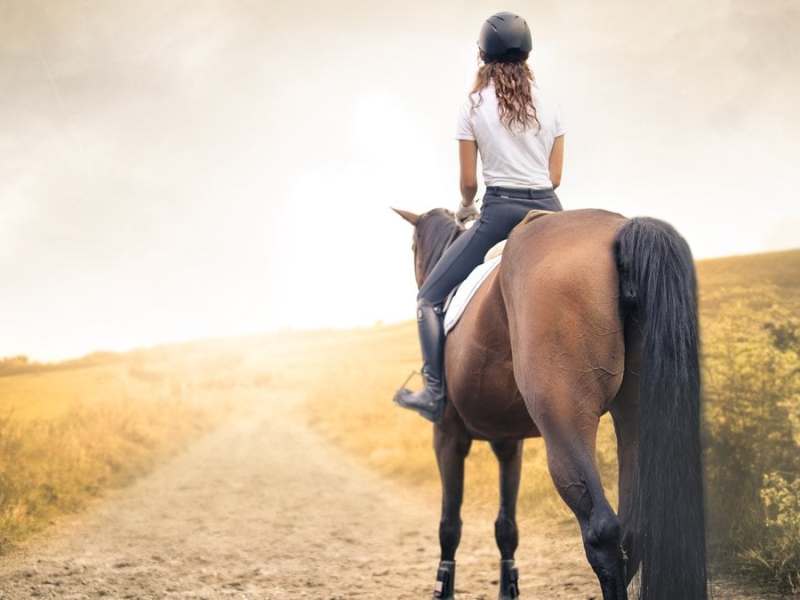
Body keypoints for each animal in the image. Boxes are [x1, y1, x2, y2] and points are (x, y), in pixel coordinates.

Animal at [392, 207, 708, 600]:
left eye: (412, 246)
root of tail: (622, 228)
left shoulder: (448, 437)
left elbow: (450, 525)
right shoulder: (508, 443)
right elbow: (506, 527)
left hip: (565, 421)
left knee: (602, 532)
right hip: (636, 415)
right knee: (633, 533)